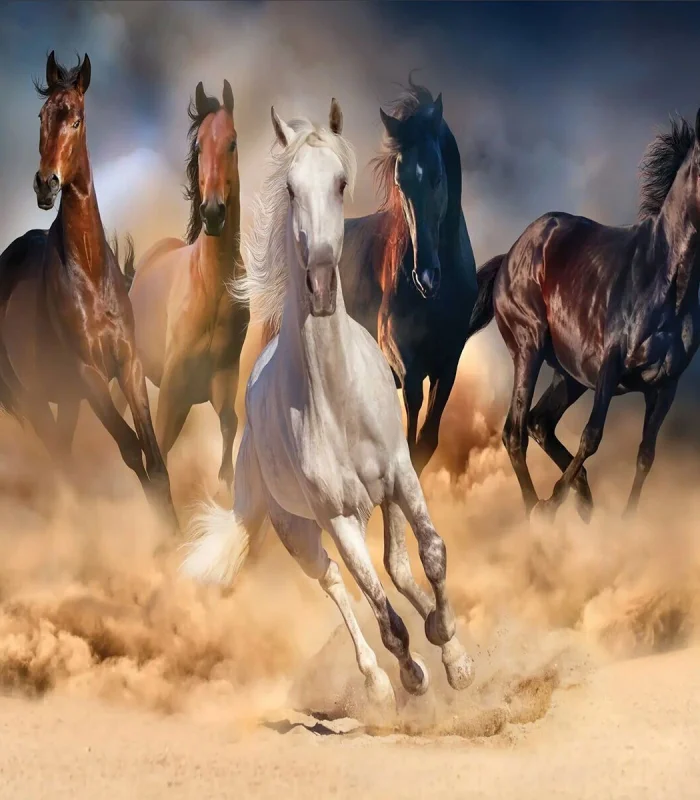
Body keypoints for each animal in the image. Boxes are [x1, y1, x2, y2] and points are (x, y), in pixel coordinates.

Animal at [0, 52, 176, 528]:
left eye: (76, 119)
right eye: (42, 116)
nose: (46, 185)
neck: (91, 276)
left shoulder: (128, 366)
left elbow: (154, 457)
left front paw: (177, 534)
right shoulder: (89, 375)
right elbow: (131, 450)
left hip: (65, 401)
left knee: (64, 453)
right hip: (34, 400)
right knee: (61, 460)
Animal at [114, 81, 248, 498]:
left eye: (232, 143)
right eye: (199, 146)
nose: (213, 213)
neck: (211, 287)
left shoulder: (222, 379)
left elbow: (229, 428)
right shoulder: (173, 388)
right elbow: (159, 452)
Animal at [261, 78, 477, 478]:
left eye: (438, 176)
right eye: (400, 181)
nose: (426, 276)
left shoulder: (448, 365)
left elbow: (427, 441)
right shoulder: (405, 365)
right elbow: (410, 444)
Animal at [468, 111, 700, 521]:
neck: (666, 283)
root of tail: (510, 254)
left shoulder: (664, 386)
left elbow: (646, 455)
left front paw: (625, 522)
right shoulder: (610, 366)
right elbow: (592, 436)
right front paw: (551, 505)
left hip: (569, 374)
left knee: (539, 423)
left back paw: (583, 504)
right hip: (529, 348)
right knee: (515, 431)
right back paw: (537, 511)